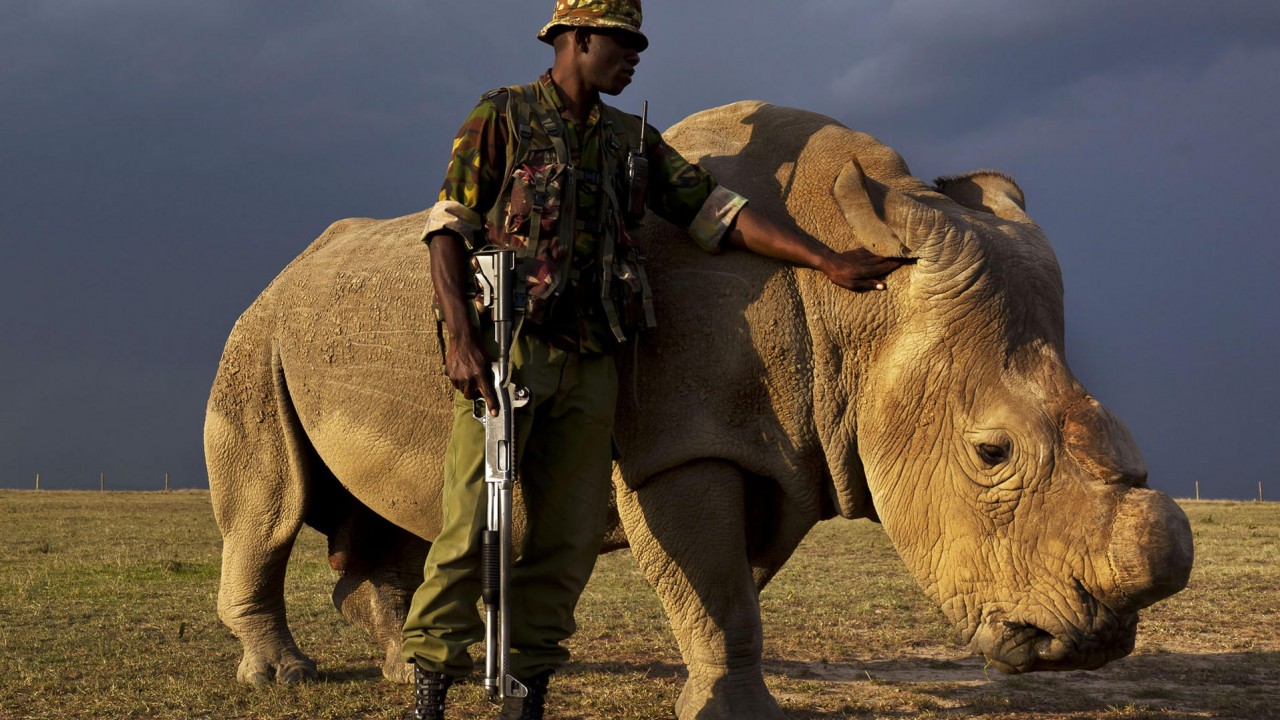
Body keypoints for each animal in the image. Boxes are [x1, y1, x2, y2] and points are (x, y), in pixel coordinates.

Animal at [205, 101, 1193, 719]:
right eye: (992, 454)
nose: (1095, 645)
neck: (858, 315)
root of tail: (283, 274)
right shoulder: (677, 446)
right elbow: (714, 585)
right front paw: (737, 713)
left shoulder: (783, 446)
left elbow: (728, 586)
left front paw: (713, 693)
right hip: (255, 337)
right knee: (272, 506)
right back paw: (283, 679)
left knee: (398, 517)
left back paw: (399, 666)